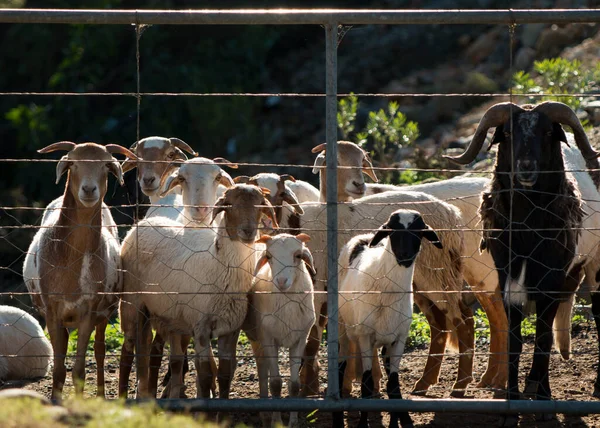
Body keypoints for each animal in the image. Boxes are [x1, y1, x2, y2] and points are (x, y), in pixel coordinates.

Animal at [23, 140, 134, 398]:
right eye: (72, 163)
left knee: (100, 351)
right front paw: (55, 401)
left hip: (104, 313)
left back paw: (102, 395)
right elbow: (59, 370)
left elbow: (79, 371)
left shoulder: (89, 310)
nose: (89, 190)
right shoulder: (52, 310)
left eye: (106, 165)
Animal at [120, 186, 278, 400]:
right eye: (229, 205)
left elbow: (225, 373)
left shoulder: (230, 328)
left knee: (160, 355)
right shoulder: (201, 327)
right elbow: (205, 374)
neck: (219, 265)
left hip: (165, 315)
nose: (248, 231)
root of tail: (141, 224)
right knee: (127, 350)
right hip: (131, 303)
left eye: (261, 204)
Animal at [241, 232, 316, 426]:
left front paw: (293, 422)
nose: (281, 281)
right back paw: (265, 412)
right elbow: (275, 383)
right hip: (258, 337)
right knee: (262, 369)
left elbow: (295, 385)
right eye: (269, 256)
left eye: (298, 255)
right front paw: (276, 421)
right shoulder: (268, 339)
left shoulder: (300, 339)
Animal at [336, 210, 442, 428]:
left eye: (419, 231)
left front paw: (401, 421)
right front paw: (362, 424)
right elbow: (367, 384)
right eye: (392, 231)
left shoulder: (399, 338)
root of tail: (365, 237)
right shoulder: (365, 336)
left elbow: (393, 385)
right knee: (341, 367)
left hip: (386, 339)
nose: (405, 255)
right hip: (344, 329)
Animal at [446, 101, 600, 424]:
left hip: (595, 265)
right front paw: (512, 404)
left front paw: (542, 402)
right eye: (507, 133)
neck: (528, 232)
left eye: (547, 132)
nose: (526, 168)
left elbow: (542, 340)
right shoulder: (508, 281)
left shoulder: (551, 282)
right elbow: (515, 341)